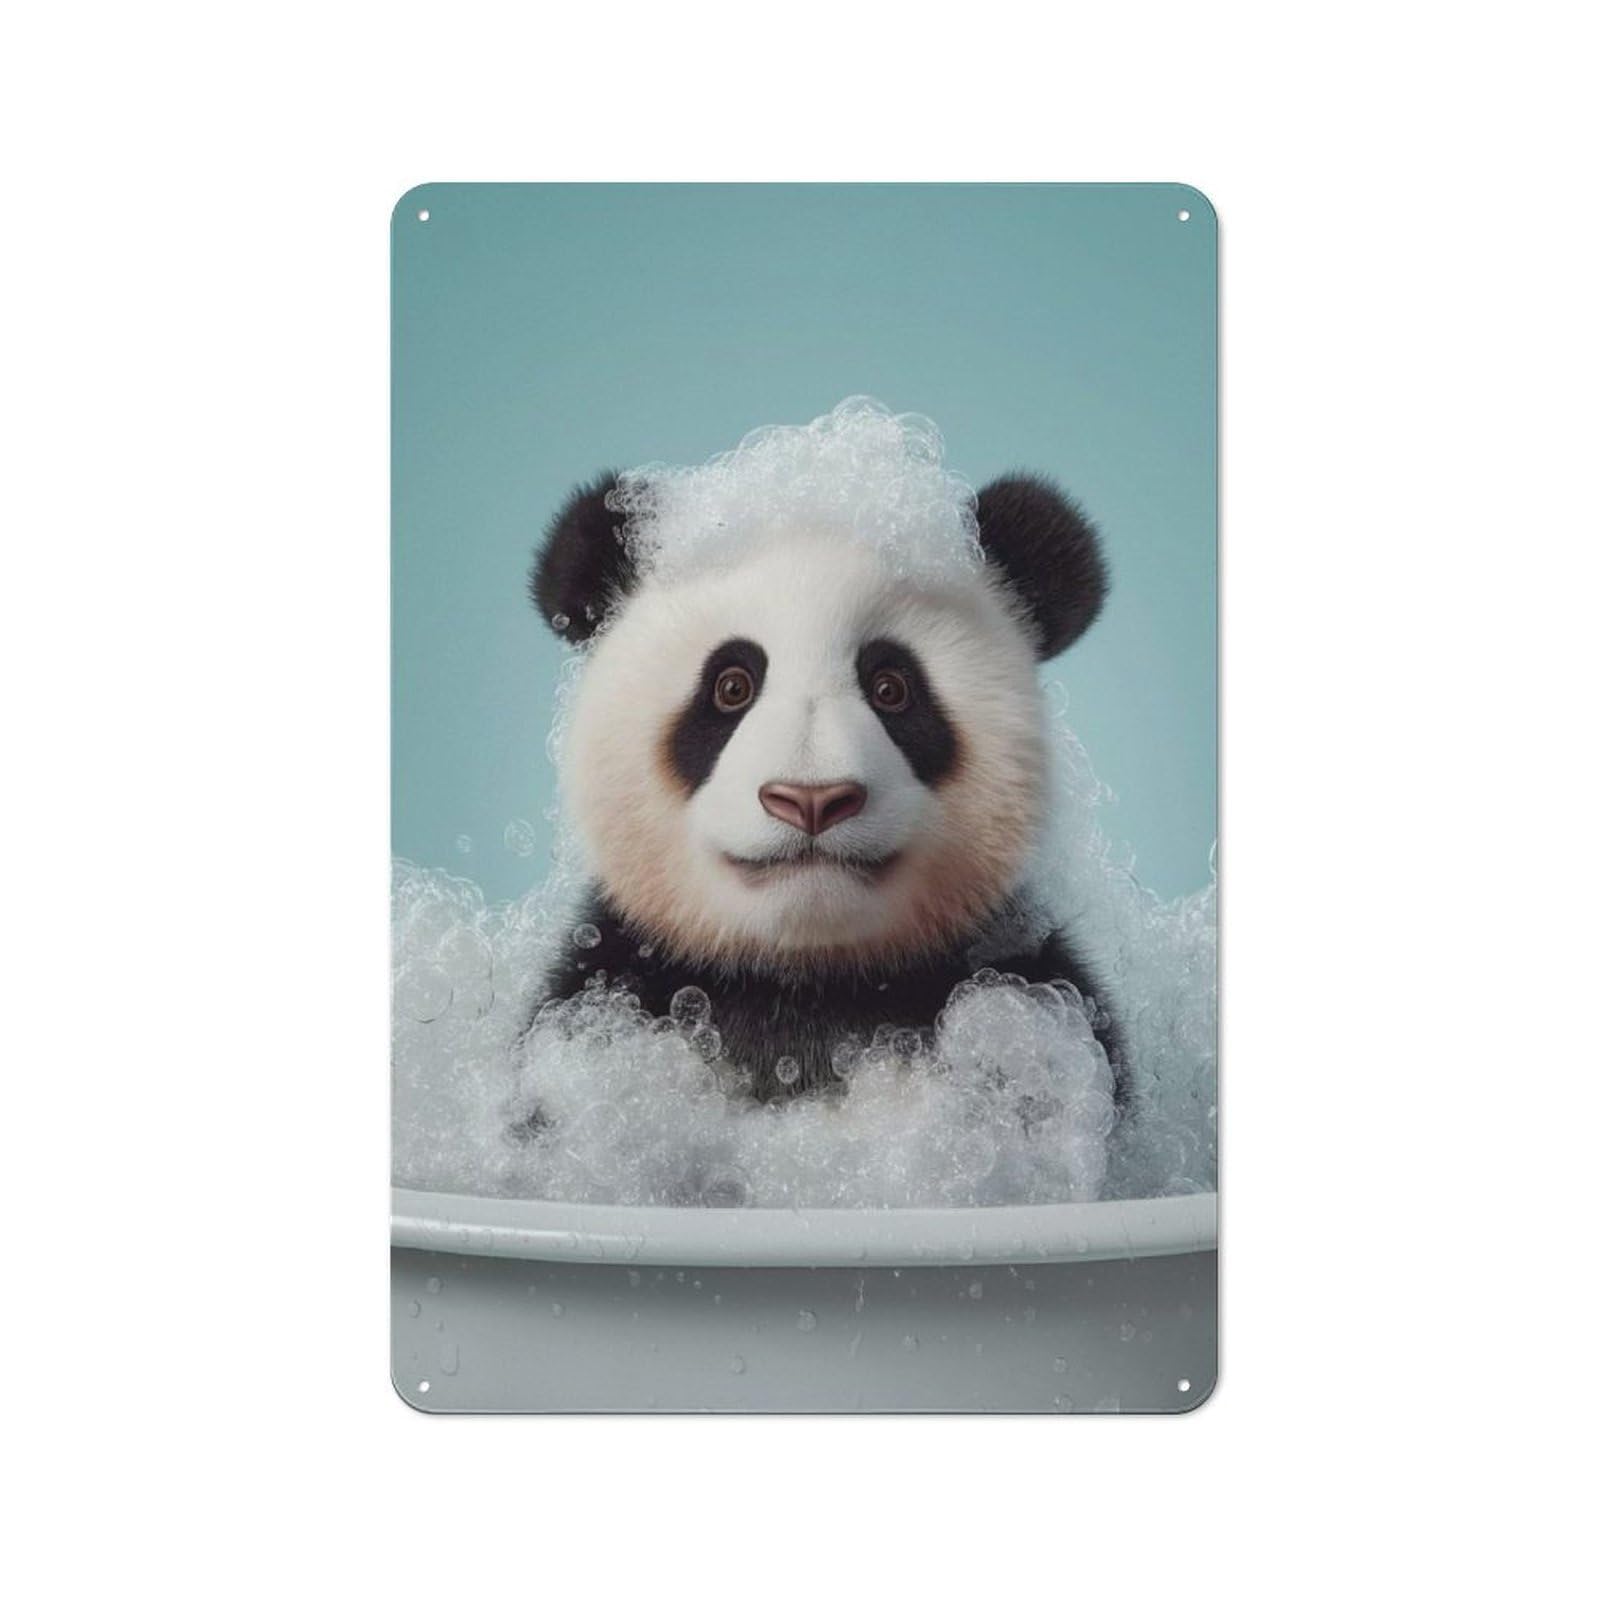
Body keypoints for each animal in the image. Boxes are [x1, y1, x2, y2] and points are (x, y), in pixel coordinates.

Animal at [525, 443, 1123, 1106]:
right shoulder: (606, 1001)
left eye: (891, 688)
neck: (806, 982)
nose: (812, 799)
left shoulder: (1041, 1006)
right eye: (731, 686)